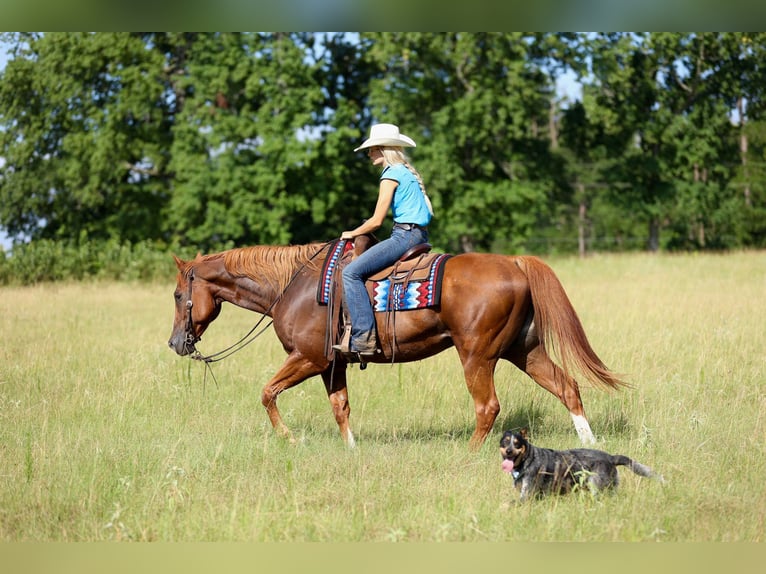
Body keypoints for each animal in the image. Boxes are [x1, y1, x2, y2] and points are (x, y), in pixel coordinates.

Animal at [166, 238, 624, 450]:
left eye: (176, 294)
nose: (175, 343)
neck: (293, 286)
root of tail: (514, 262)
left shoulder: (309, 358)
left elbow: (267, 393)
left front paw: (290, 439)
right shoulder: (334, 364)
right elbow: (340, 407)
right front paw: (352, 448)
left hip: (477, 354)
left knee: (487, 406)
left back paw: (470, 452)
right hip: (522, 350)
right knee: (567, 386)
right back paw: (589, 445)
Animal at [500, 430, 664, 502]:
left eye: (517, 444)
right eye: (505, 442)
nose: (509, 451)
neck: (527, 459)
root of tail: (611, 458)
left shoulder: (526, 495)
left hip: (596, 488)